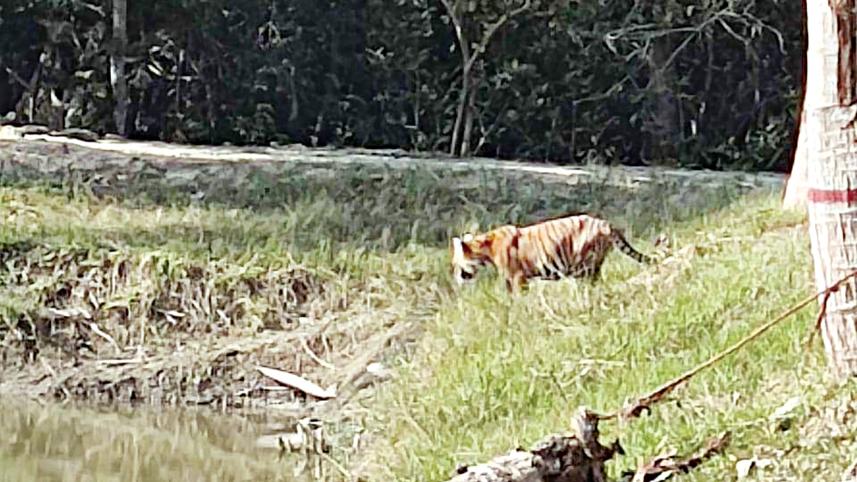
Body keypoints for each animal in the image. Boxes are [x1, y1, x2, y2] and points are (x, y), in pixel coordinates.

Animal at [450, 212, 653, 293]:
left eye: (455, 265)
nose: (455, 280)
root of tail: (606, 223)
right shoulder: (509, 279)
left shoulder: (517, 277)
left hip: (583, 268)